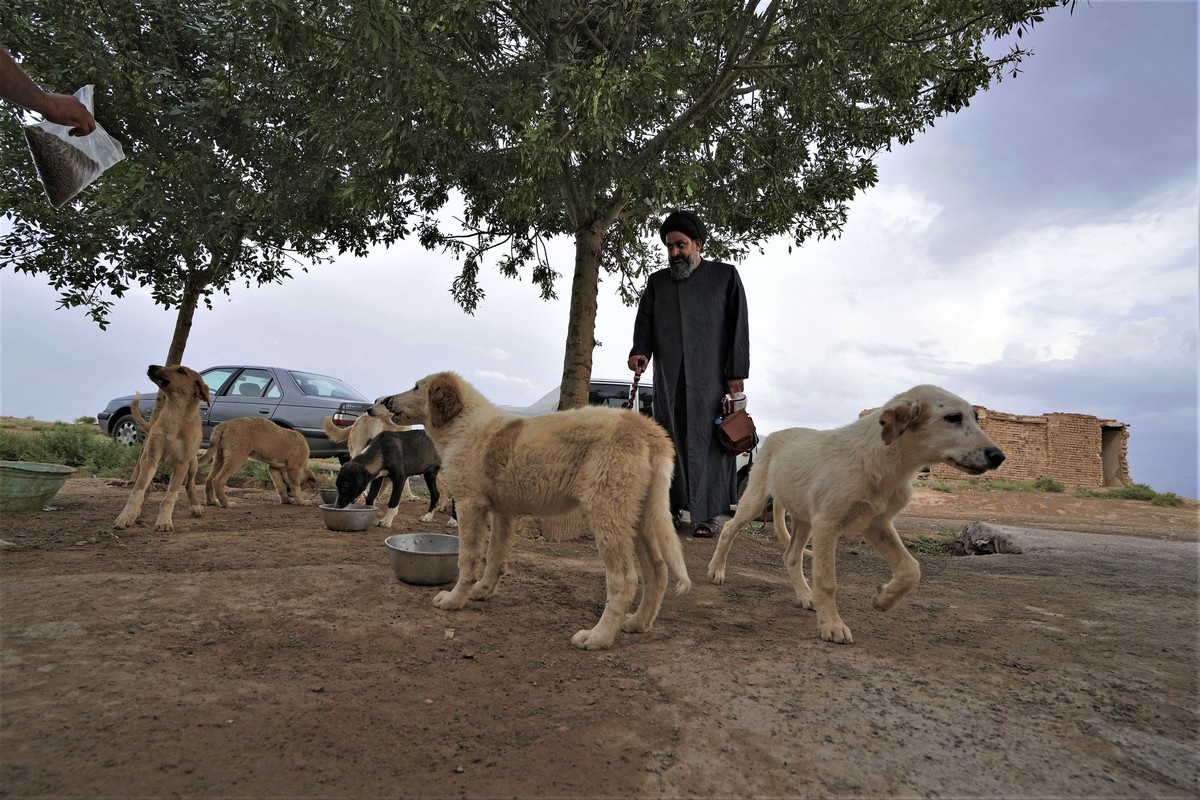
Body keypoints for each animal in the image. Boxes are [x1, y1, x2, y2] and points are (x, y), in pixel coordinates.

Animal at [113, 367, 212, 534]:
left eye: (181, 371)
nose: (151, 366)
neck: (175, 415)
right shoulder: (151, 459)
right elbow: (137, 492)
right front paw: (126, 516)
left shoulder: (181, 465)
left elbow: (169, 497)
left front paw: (164, 521)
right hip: (144, 460)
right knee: (147, 488)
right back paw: (136, 512)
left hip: (192, 465)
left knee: (189, 484)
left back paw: (195, 506)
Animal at [374, 371, 696, 652]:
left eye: (417, 387)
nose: (387, 400)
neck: (463, 425)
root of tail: (649, 430)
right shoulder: (502, 512)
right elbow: (495, 555)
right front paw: (483, 591)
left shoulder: (469, 505)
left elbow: (467, 559)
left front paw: (455, 599)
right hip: (639, 516)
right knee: (658, 570)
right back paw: (638, 623)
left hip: (607, 511)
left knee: (625, 579)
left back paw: (598, 637)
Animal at [705, 386, 1008, 642]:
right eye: (952, 418)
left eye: (976, 418)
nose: (998, 456)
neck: (887, 463)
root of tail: (775, 434)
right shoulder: (828, 524)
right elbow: (827, 581)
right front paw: (832, 625)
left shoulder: (877, 525)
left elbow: (912, 569)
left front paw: (884, 599)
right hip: (756, 500)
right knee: (730, 527)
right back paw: (716, 570)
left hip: (804, 519)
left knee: (791, 556)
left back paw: (805, 595)